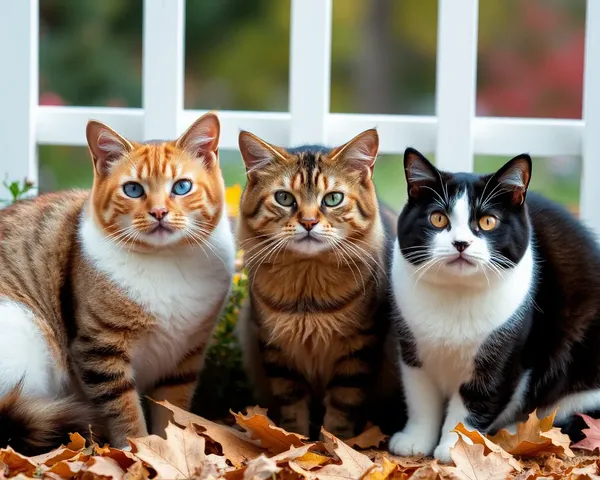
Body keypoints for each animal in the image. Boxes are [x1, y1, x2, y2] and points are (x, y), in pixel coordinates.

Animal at [0, 110, 234, 452]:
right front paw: (138, 451)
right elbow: (124, 409)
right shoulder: (99, 347)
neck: (165, 261)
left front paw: (172, 450)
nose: (159, 212)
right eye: (133, 190)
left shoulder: (186, 355)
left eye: (182, 187)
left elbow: (172, 413)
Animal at [236, 127, 404, 438]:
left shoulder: (359, 348)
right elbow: (292, 406)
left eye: (333, 199)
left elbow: (342, 408)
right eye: (284, 198)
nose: (309, 222)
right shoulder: (276, 349)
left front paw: (334, 443)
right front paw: (295, 441)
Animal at [390, 148, 600, 464]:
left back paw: (518, 433)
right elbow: (420, 398)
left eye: (488, 221)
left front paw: (456, 448)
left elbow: (477, 402)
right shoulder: (413, 351)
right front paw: (415, 441)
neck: (456, 296)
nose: (461, 243)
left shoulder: (504, 355)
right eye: (437, 218)